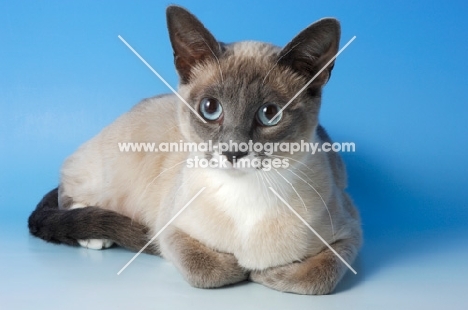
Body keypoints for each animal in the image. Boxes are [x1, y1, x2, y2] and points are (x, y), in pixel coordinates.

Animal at [28, 5, 362, 296]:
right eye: (210, 109)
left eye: (270, 114)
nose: (233, 152)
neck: (246, 194)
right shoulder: (170, 229)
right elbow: (205, 270)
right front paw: (244, 270)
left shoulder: (350, 235)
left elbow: (319, 276)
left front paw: (268, 273)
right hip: (110, 171)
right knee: (67, 192)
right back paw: (95, 237)